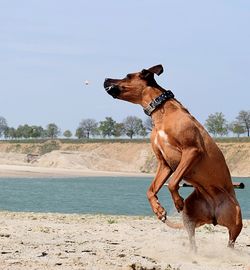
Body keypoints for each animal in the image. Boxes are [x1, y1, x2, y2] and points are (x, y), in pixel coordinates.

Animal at [103, 64, 242, 250]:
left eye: (127, 76)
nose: (105, 79)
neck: (160, 113)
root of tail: (213, 217)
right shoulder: (164, 164)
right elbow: (151, 190)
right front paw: (159, 211)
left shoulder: (192, 151)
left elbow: (173, 181)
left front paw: (177, 201)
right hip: (190, 214)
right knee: (192, 238)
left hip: (237, 218)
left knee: (231, 241)